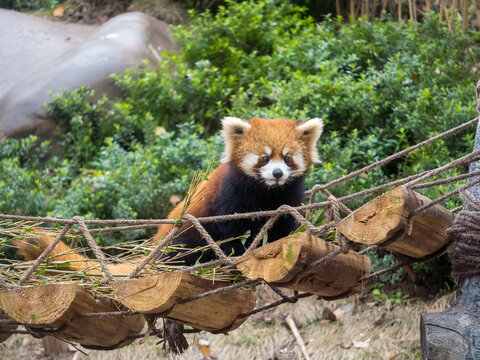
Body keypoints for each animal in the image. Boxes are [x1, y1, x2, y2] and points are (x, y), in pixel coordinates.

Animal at [14, 116, 322, 272]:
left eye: (287, 158)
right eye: (264, 158)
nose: (277, 173)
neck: (266, 193)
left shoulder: (288, 198)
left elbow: (283, 225)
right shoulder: (230, 197)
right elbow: (228, 232)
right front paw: (236, 255)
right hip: (182, 238)